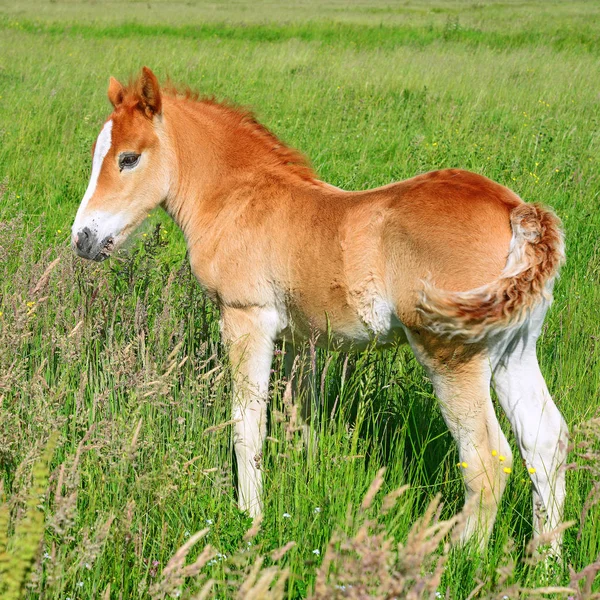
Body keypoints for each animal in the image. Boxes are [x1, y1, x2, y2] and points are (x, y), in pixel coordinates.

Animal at [70, 67, 568, 548]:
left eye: (128, 158)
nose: (83, 239)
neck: (237, 199)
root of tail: (515, 210)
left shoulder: (246, 318)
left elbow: (247, 425)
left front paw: (250, 517)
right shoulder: (299, 339)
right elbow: (298, 419)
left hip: (451, 355)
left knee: (487, 459)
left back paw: (460, 557)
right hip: (514, 350)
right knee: (546, 442)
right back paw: (545, 559)